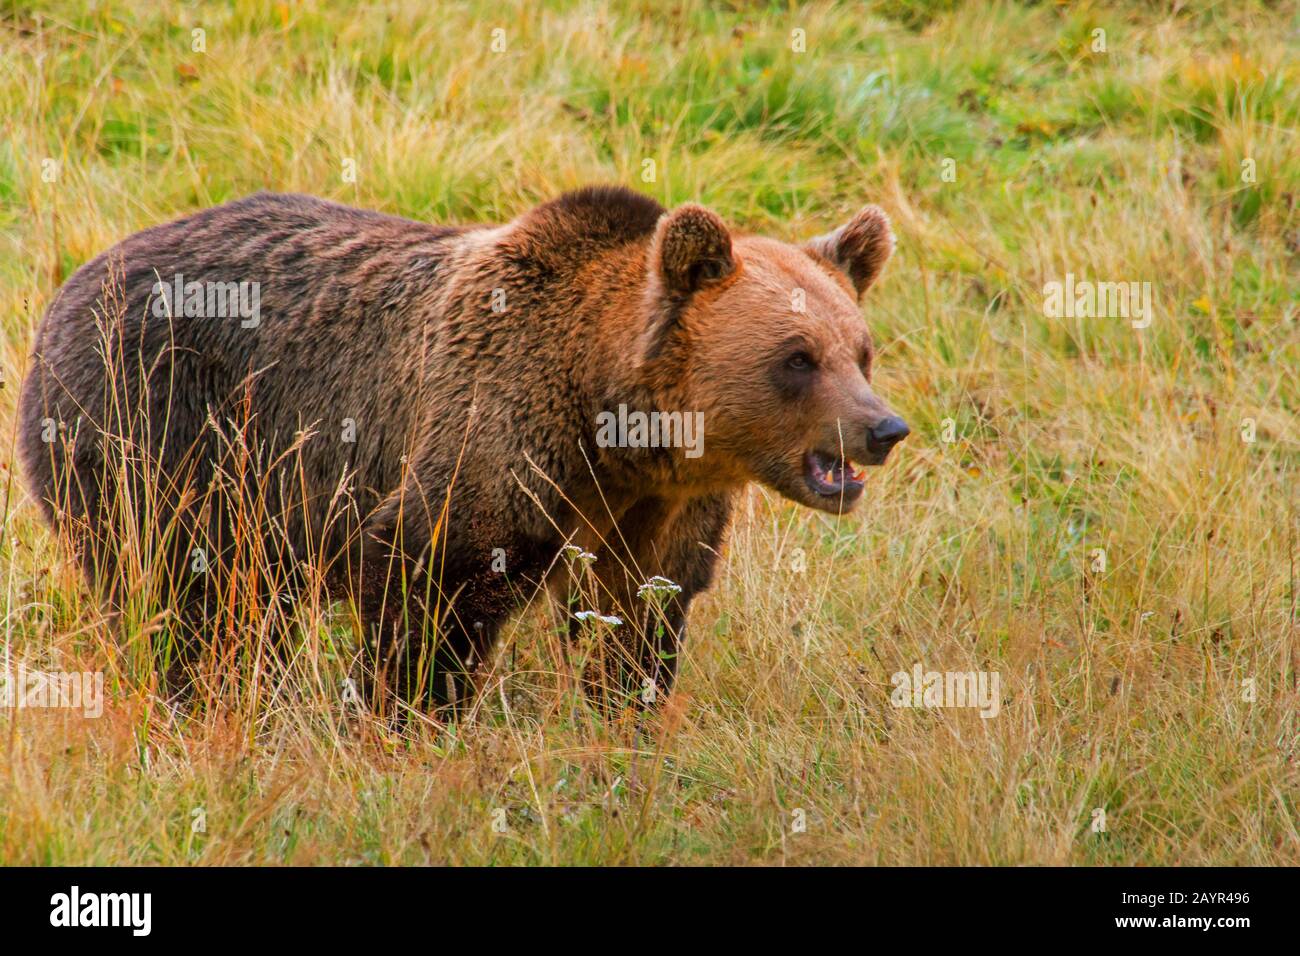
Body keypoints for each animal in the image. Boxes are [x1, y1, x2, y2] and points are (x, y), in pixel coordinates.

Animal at [22, 184, 915, 712]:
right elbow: (434, 591)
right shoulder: (493, 431)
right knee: (185, 588)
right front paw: (409, 715)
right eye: (797, 358)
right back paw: (206, 694)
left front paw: (621, 713)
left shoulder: (656, 510)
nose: (883, 428)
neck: (612, 418)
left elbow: (642, 614)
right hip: (160, 425)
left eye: (861, 352)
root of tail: (69, 285)